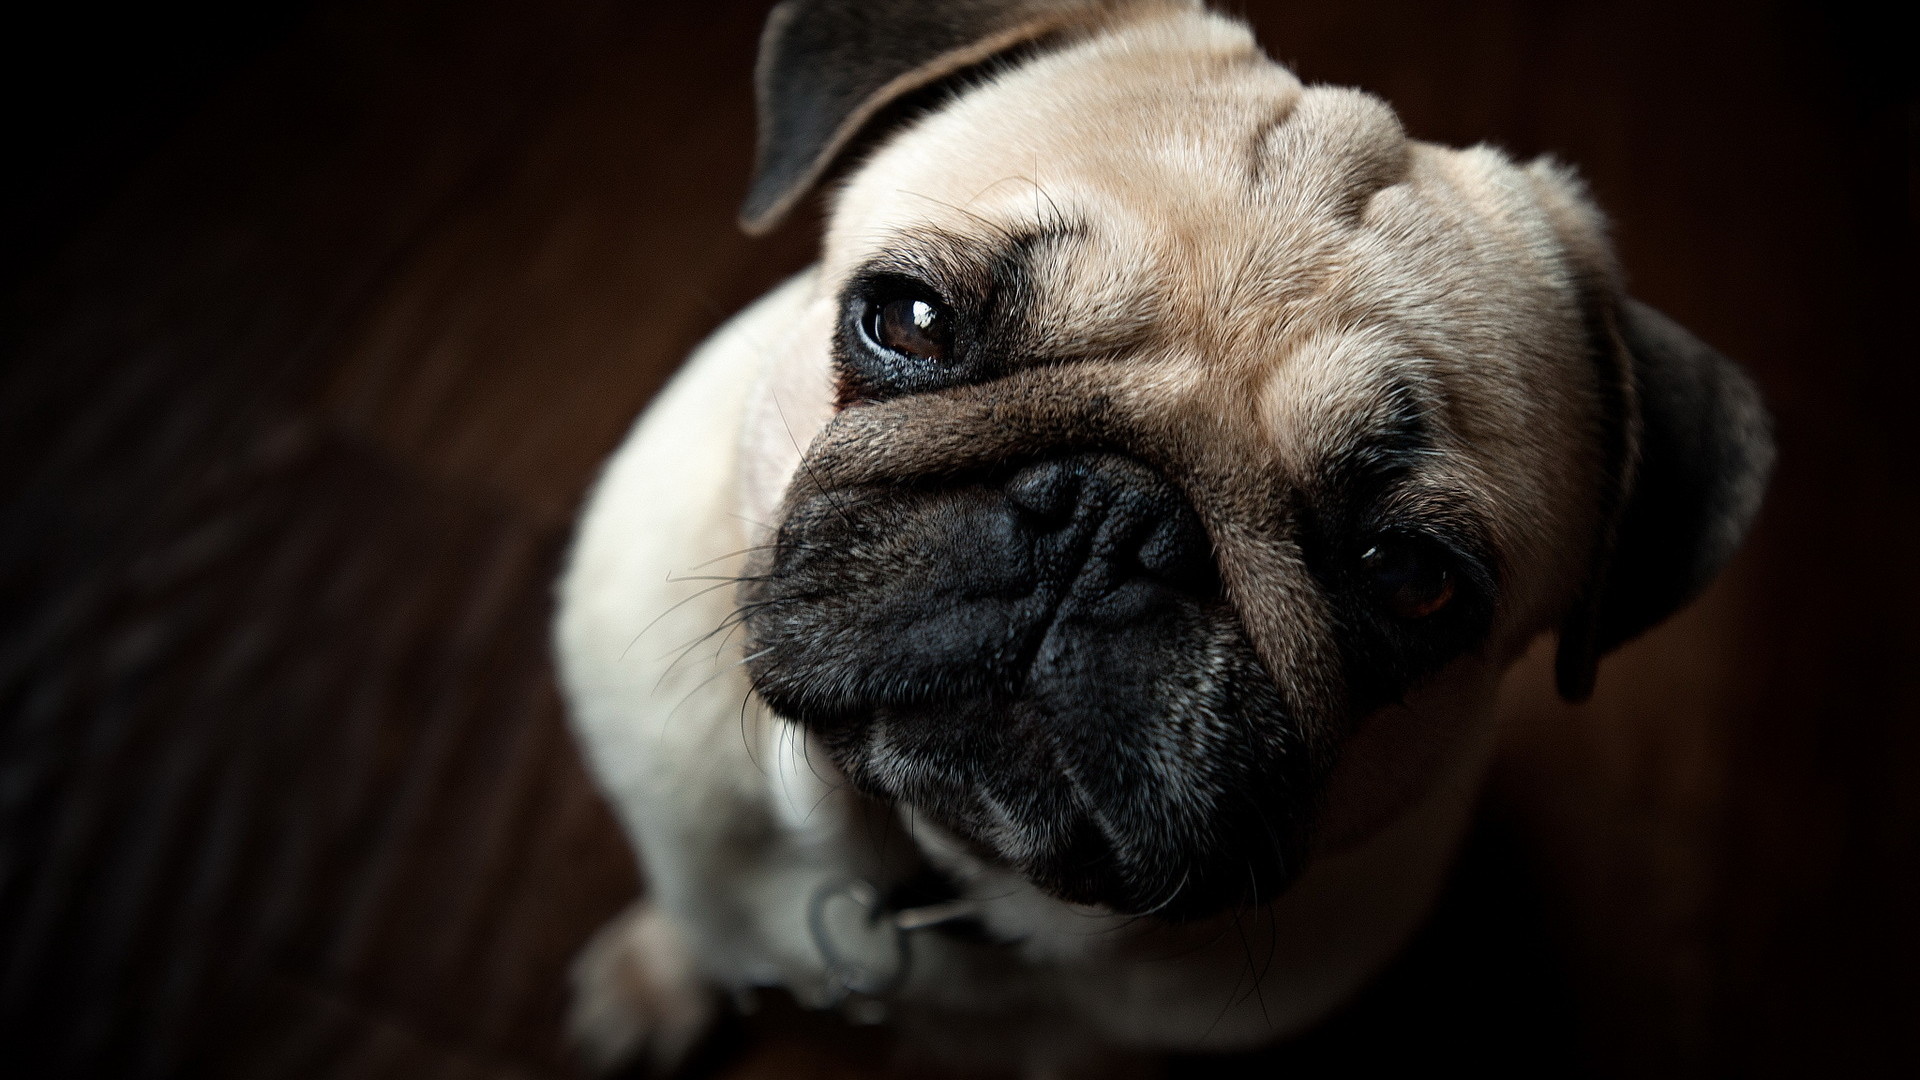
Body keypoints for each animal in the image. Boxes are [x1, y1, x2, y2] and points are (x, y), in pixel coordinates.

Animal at [549, 0, 1774, 1068]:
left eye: (1409, 577)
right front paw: (655, 980)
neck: (939, 873)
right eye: (909, 319)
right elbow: (697, 914)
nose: (1110, 517)